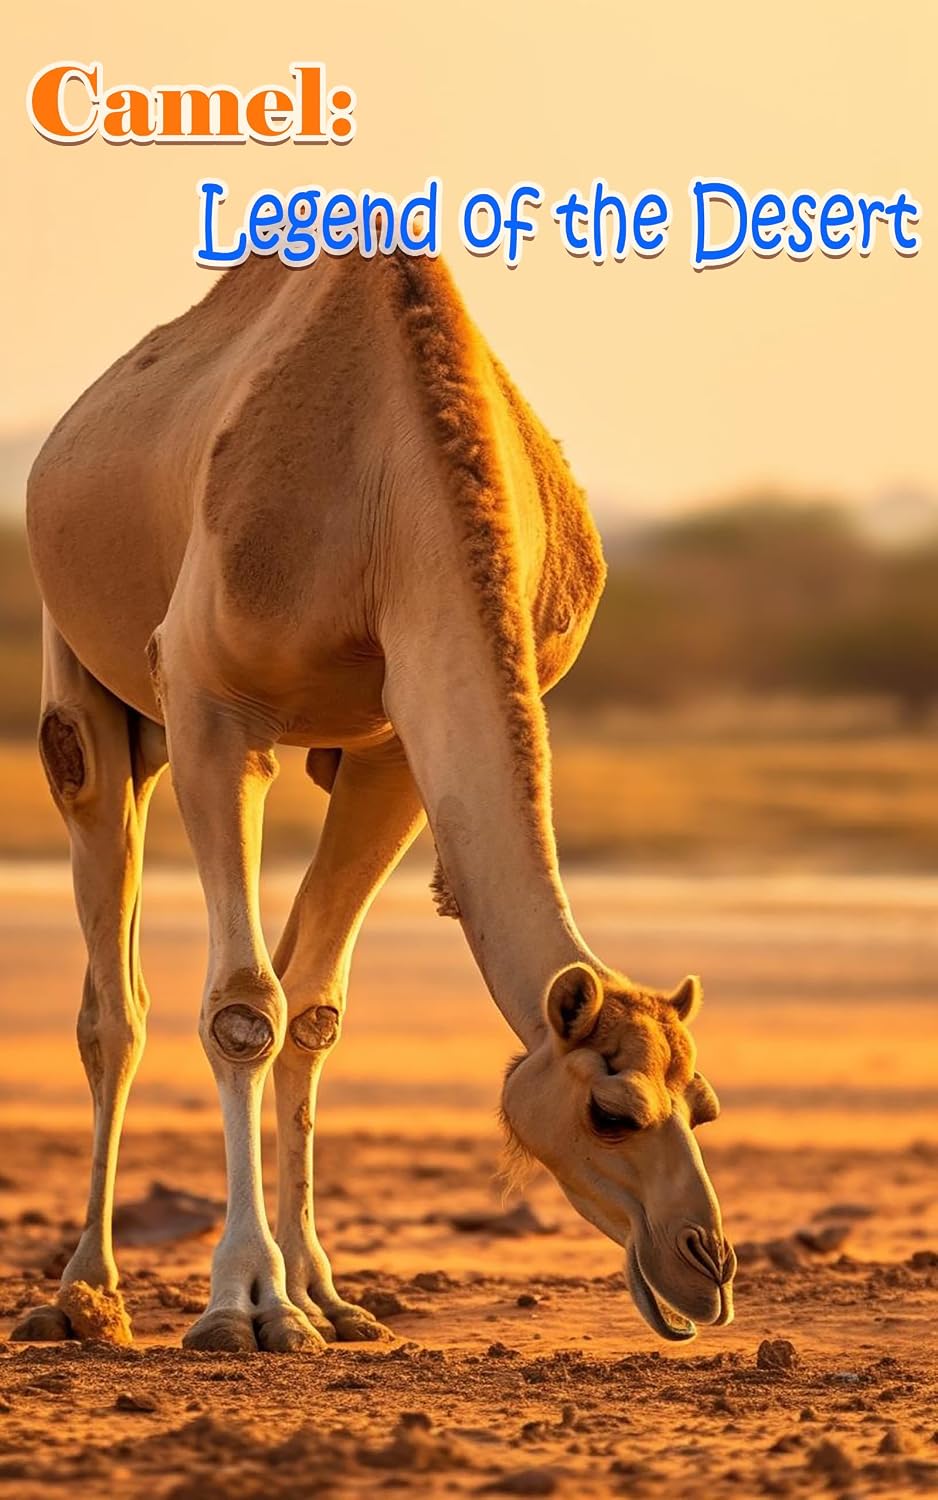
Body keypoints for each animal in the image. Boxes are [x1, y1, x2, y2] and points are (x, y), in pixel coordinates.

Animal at [15, 249, 735, 1352]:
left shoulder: (394, 743)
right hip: (91, 687)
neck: (393, 501)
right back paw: (84, 1293)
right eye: (610, 1111)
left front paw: (316, 1296)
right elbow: (242, 1008)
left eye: (700, 1104)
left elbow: (310, 1010)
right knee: (112, 989)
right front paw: (244, 1305)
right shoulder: (212, 704)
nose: (706, 1270)